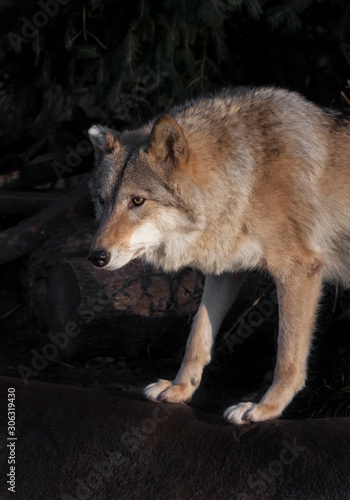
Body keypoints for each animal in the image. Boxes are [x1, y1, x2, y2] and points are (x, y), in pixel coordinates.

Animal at [87, 88, 350, 424]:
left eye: (137, 201)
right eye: (102, 201)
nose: (96, 257)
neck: (247, 178)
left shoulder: (299, 270)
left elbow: (287, 355)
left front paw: (266, 408)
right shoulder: (225, 271)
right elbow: (196, 337)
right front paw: (180, 388)